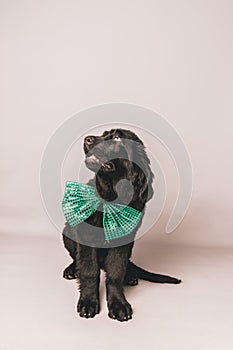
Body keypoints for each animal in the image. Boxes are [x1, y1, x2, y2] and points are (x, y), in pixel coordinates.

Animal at [62, 127, 181, 322]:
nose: (87, 139)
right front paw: (88, 302)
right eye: (104, 134)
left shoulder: (124, 240)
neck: (110, 198)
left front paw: (118, 304)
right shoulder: (86, 236)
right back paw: (72, 269)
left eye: (117, 138)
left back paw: (130, 275)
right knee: (77, 258)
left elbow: (115, 272)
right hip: (68, 231)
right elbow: (89, 270)